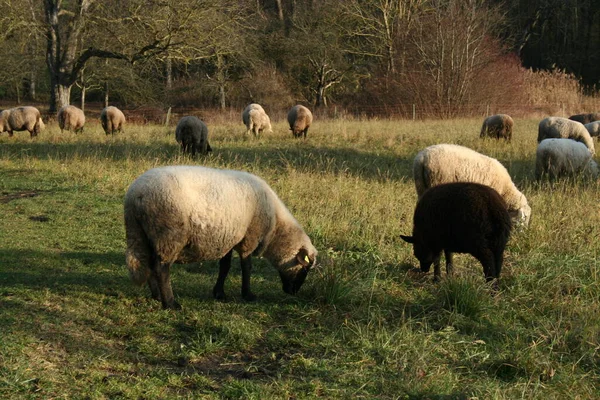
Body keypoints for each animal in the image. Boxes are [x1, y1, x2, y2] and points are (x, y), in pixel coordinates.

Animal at [123, 166, 316, 310]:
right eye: (304, 269)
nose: (293, 292)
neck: (275, 227)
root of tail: (135, 196)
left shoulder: (229, 238)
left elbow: (225, 266)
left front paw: (219, 293)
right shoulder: (248, 238)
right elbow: (247, 267)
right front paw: (248, 294)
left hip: (141, 233)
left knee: (147, 262)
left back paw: (156, 295)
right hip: (168, 234)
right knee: (161, 268)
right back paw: (170, 303)